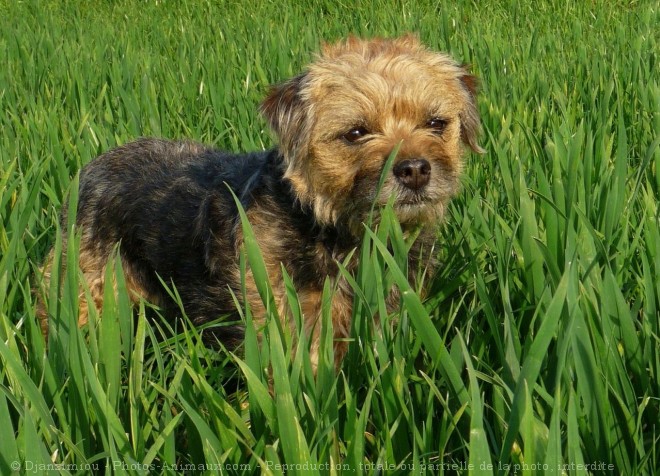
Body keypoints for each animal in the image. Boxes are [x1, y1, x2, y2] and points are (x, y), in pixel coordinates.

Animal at [36, 35, 482, 370]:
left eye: (436, 123)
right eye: (356, 132)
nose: (415, 169)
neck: (333, 228)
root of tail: (90, 169)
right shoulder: (285, 326)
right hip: (84, 292)